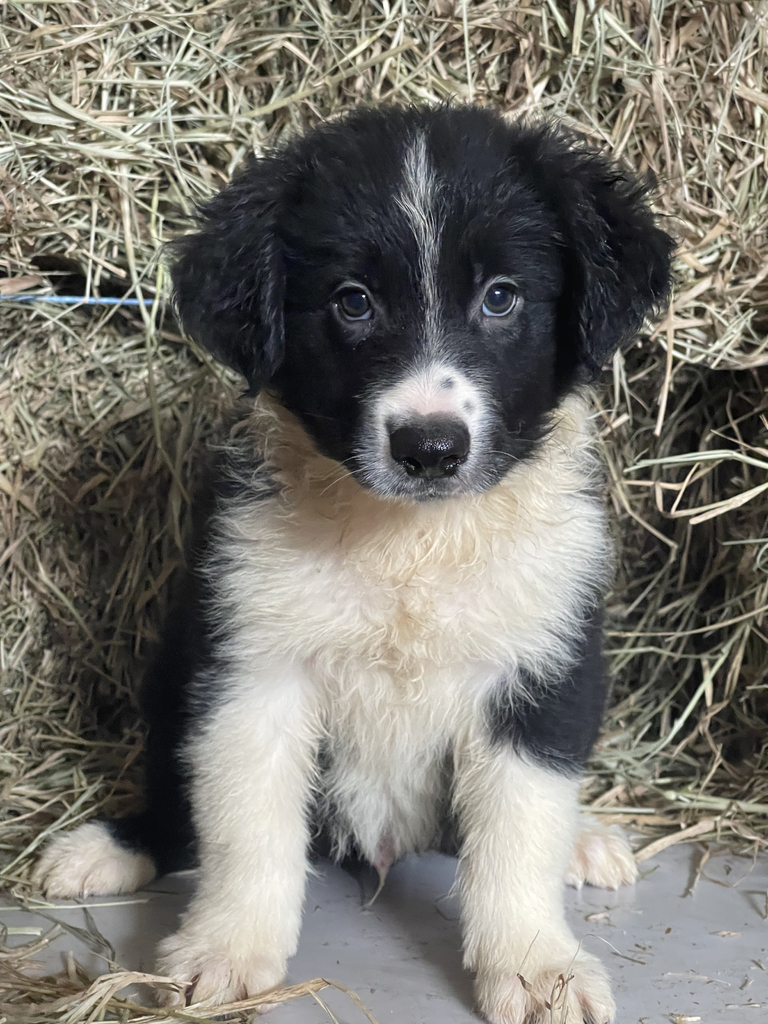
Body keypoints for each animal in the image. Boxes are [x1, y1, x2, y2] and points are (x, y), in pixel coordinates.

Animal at [34, 105, 671, 1024]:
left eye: (501, 297)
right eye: (353, 302)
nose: (431, 448)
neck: (408, 541)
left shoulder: (544, 667)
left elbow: (518, 830)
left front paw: (535, 966)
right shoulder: (252, 666)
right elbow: (246, 826)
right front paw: (225, 950)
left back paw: (586, 841)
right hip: (174, 668)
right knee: (177, 803)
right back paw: (109, 847)